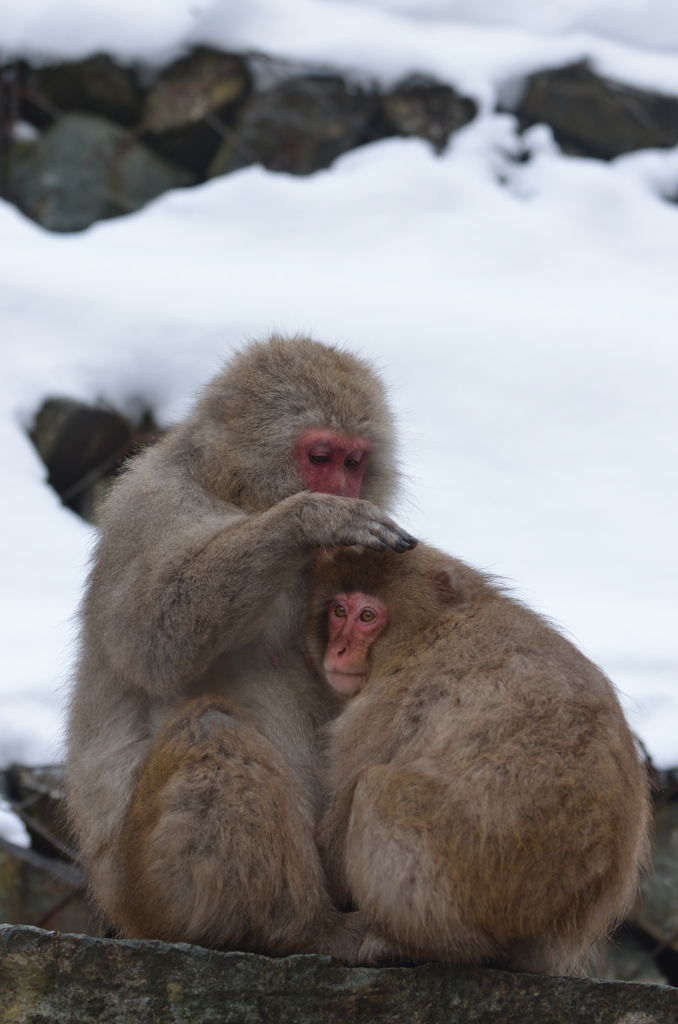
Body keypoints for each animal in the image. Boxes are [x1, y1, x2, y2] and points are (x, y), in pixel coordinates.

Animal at [66, 337, 417, 958]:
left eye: (354, 462)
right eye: (321, 456)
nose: (342, 488)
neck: (229, 494)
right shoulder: (148, 506)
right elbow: (154, 636)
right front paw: (310, 519)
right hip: (149, 892)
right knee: (211, 732)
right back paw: (304, 929)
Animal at [307, 544, 655, 974]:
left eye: (367, 616)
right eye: (339, 610)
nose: (337, 649)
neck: (428, 630)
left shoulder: (388, 702)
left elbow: (343, 814)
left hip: (462, 884)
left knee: (378, 790)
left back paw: (424, 947)